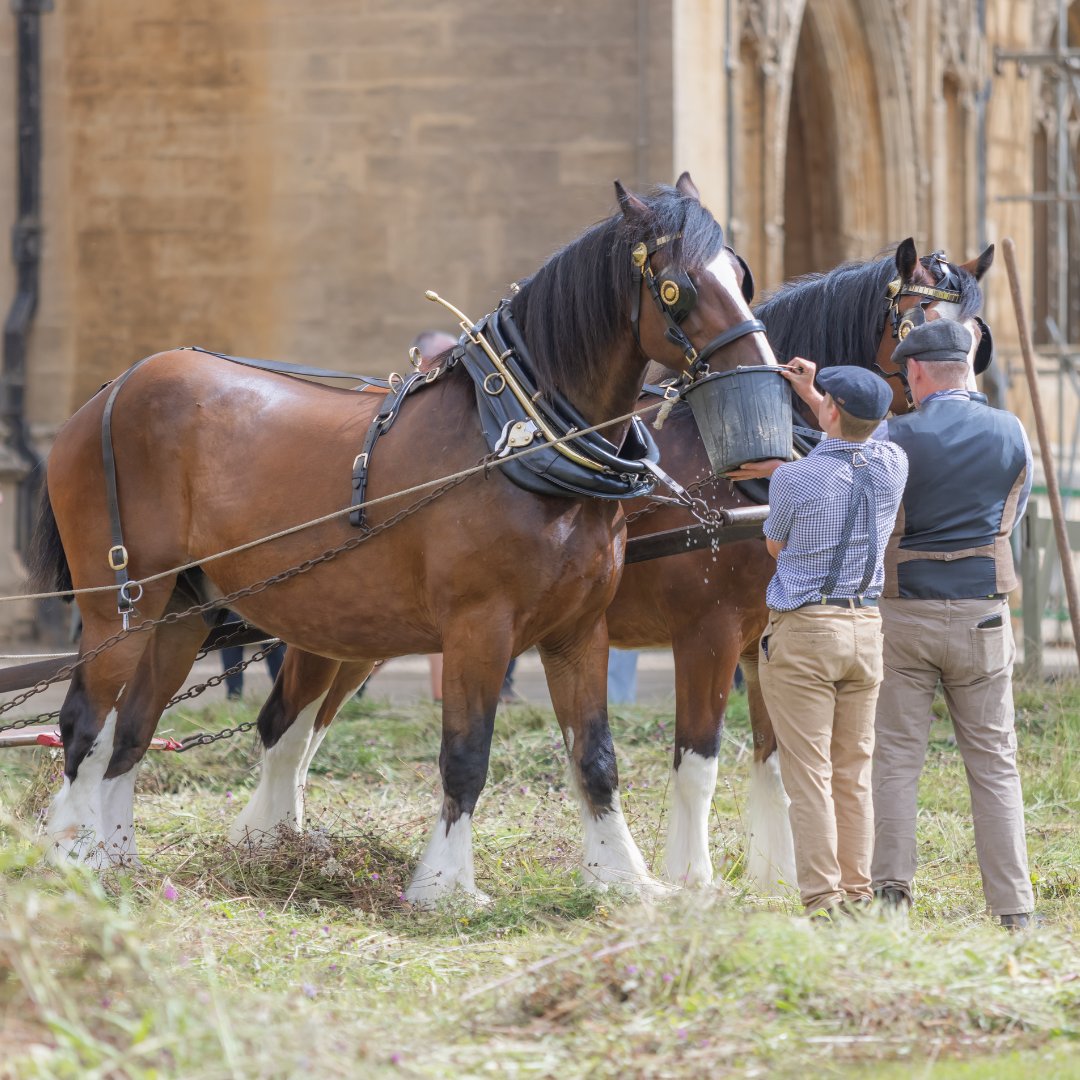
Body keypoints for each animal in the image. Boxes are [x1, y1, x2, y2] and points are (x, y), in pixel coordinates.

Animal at [29, 174, 776, 904]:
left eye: (740, 276)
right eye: (676, 286)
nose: (764, 373)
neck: (522, 444)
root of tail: (110, 391)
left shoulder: (580, 628)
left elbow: (595, 757)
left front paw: (623, 876)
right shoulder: (482, 625)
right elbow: (466, 756)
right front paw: (445, 886)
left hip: (185, 611)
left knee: (135, 728)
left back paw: (120, 859)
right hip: (121, 604)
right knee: (86, 723)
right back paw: (73, 854)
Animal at [223, 237, 993, 893]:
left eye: (976, 336)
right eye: (918, 328)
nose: (972, 412)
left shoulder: (764, 638)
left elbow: (777, 759)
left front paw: (777, 875)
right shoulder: (709, 634)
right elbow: (698, 761)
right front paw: (692, 878)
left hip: (368, 633)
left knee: (302, 730)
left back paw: (285, 842)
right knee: (285, 724)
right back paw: (269, 844)